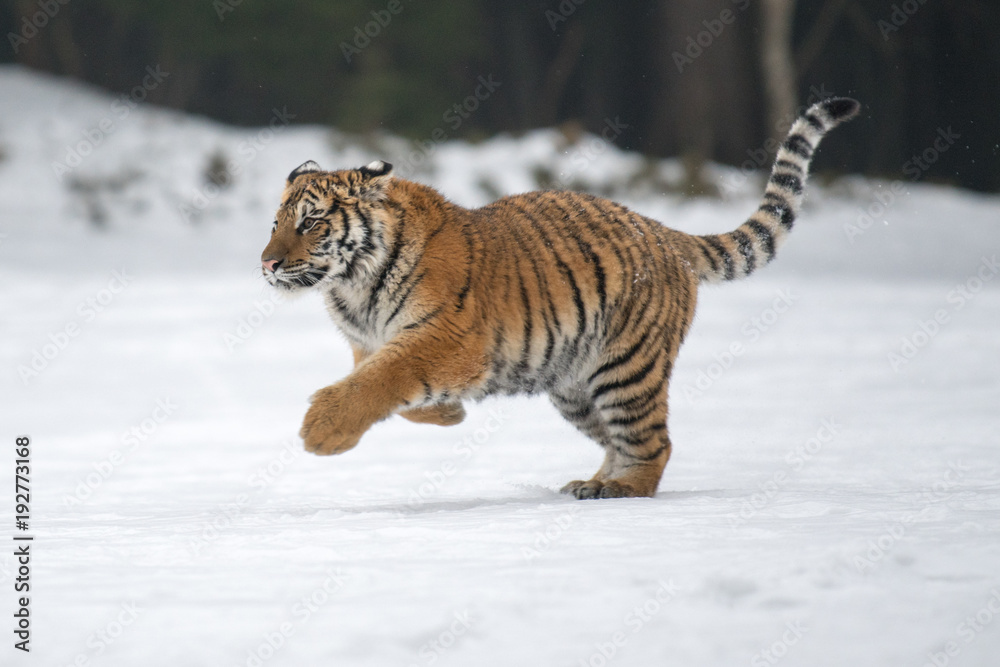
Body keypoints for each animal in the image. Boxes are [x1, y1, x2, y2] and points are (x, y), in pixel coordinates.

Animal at [261, 97, 860, 499]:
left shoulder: (447, 338)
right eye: (276, 223)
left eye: (310, 223)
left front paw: (322, 432)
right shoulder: (372, 343)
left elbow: (381, 380)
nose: (266, 263)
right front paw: (448, 413)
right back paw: (590, 483)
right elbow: (387, 387)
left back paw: (620, 490)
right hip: (575, 383)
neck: (352, 285)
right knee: (618, 440)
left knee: (653, 443)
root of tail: (664, 231)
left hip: (627, 369)